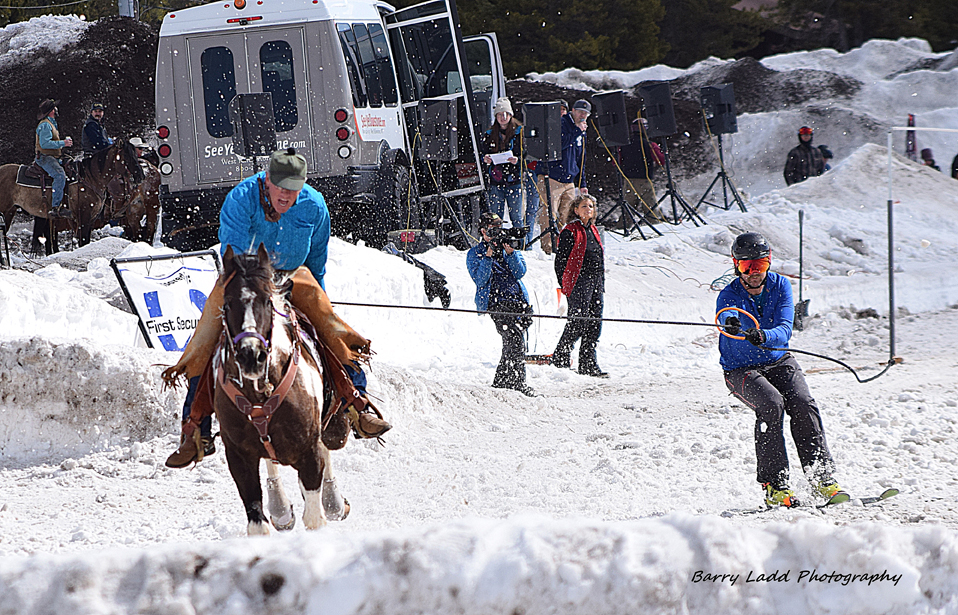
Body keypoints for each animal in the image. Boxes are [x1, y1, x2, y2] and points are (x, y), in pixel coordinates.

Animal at [216, 244, 350, 536]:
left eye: (267, 301)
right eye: (227, 303)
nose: (251, 355)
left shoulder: (310, 454)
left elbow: (314, 517)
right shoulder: (239, 458)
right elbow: (257, 524)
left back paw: (333, 500)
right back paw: (280, 508)